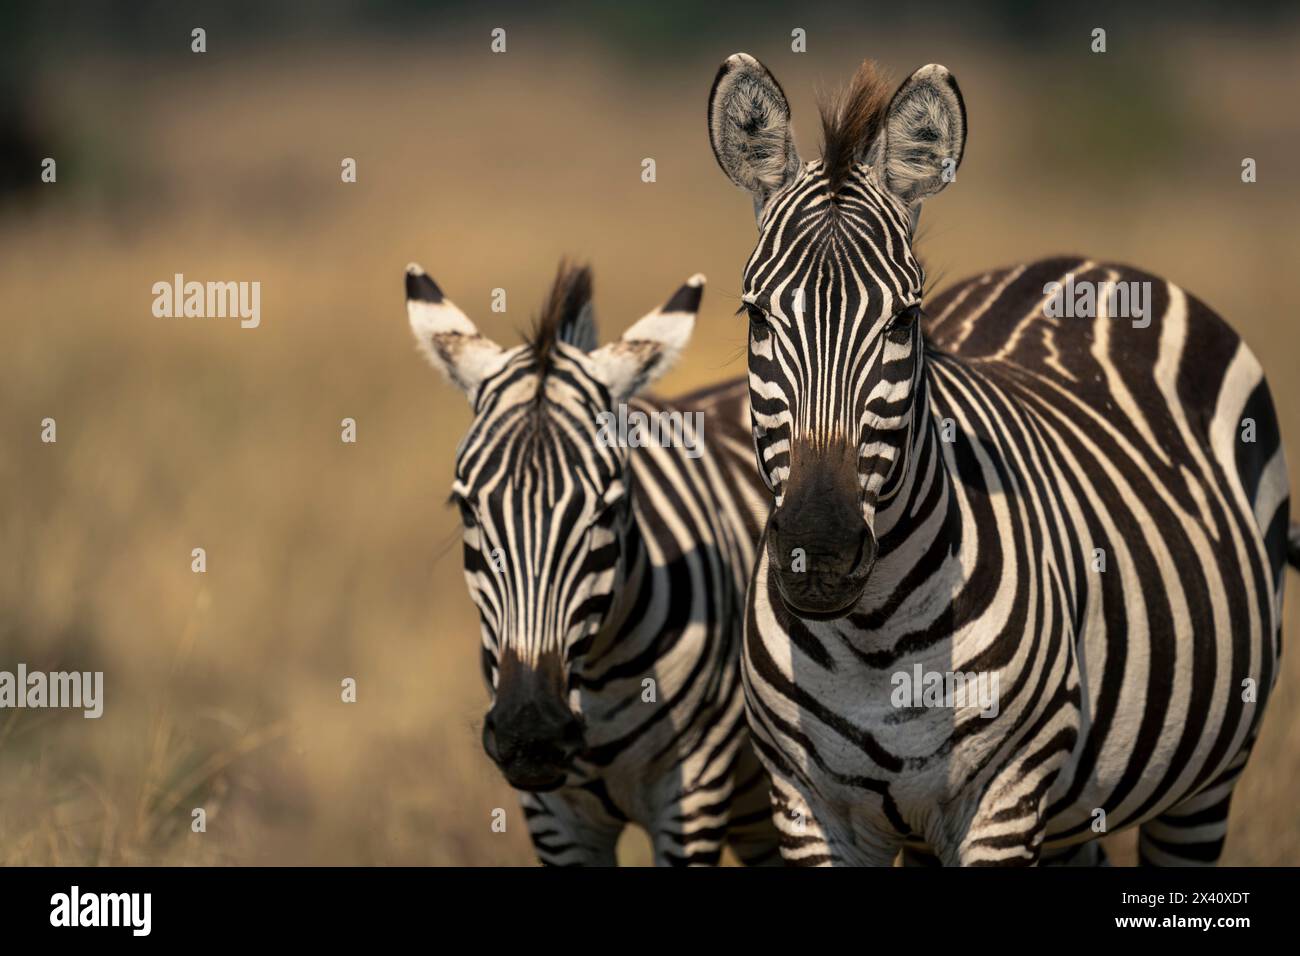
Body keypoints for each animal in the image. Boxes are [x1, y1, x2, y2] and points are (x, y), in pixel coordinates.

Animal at [405, 260, 780, 865]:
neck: (594, 680)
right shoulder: (554, 816)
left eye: (608, 508)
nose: (531, 735)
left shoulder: (693, 794)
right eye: (465, 507)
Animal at [707, 53, 1298, 866]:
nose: (817, 553)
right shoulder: (807, 806)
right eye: (756, 315)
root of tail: (1087, 262)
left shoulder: (1006, 797)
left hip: (1208, 778)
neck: (872, 641)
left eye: (905, 319)